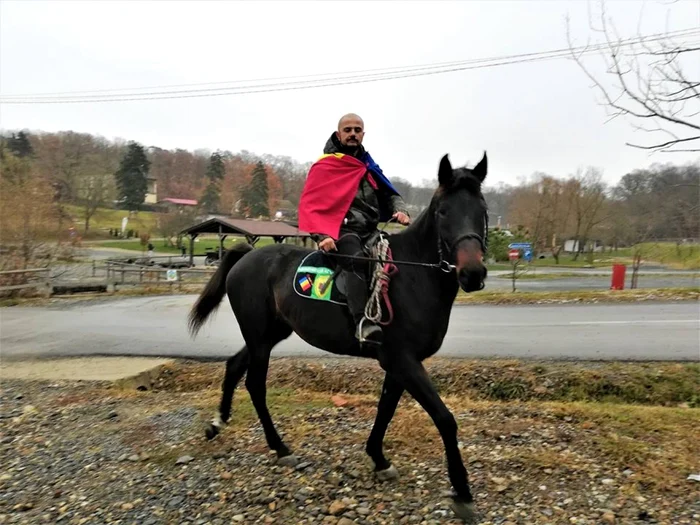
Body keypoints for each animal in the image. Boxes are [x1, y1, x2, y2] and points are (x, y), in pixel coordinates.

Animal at [189, 151, 490, 520]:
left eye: (482, 210)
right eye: (443, 211)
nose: (473, 273)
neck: (412, 275)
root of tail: (248, 255)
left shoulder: (400, 363)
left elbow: (386, 408)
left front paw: (378, 458)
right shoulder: (403, 360)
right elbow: (445, 419)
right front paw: (462, 490)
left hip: (270, 333)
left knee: (233, 366)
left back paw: (217, 423)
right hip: (260, 338)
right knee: (256, 385)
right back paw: (280, 447)